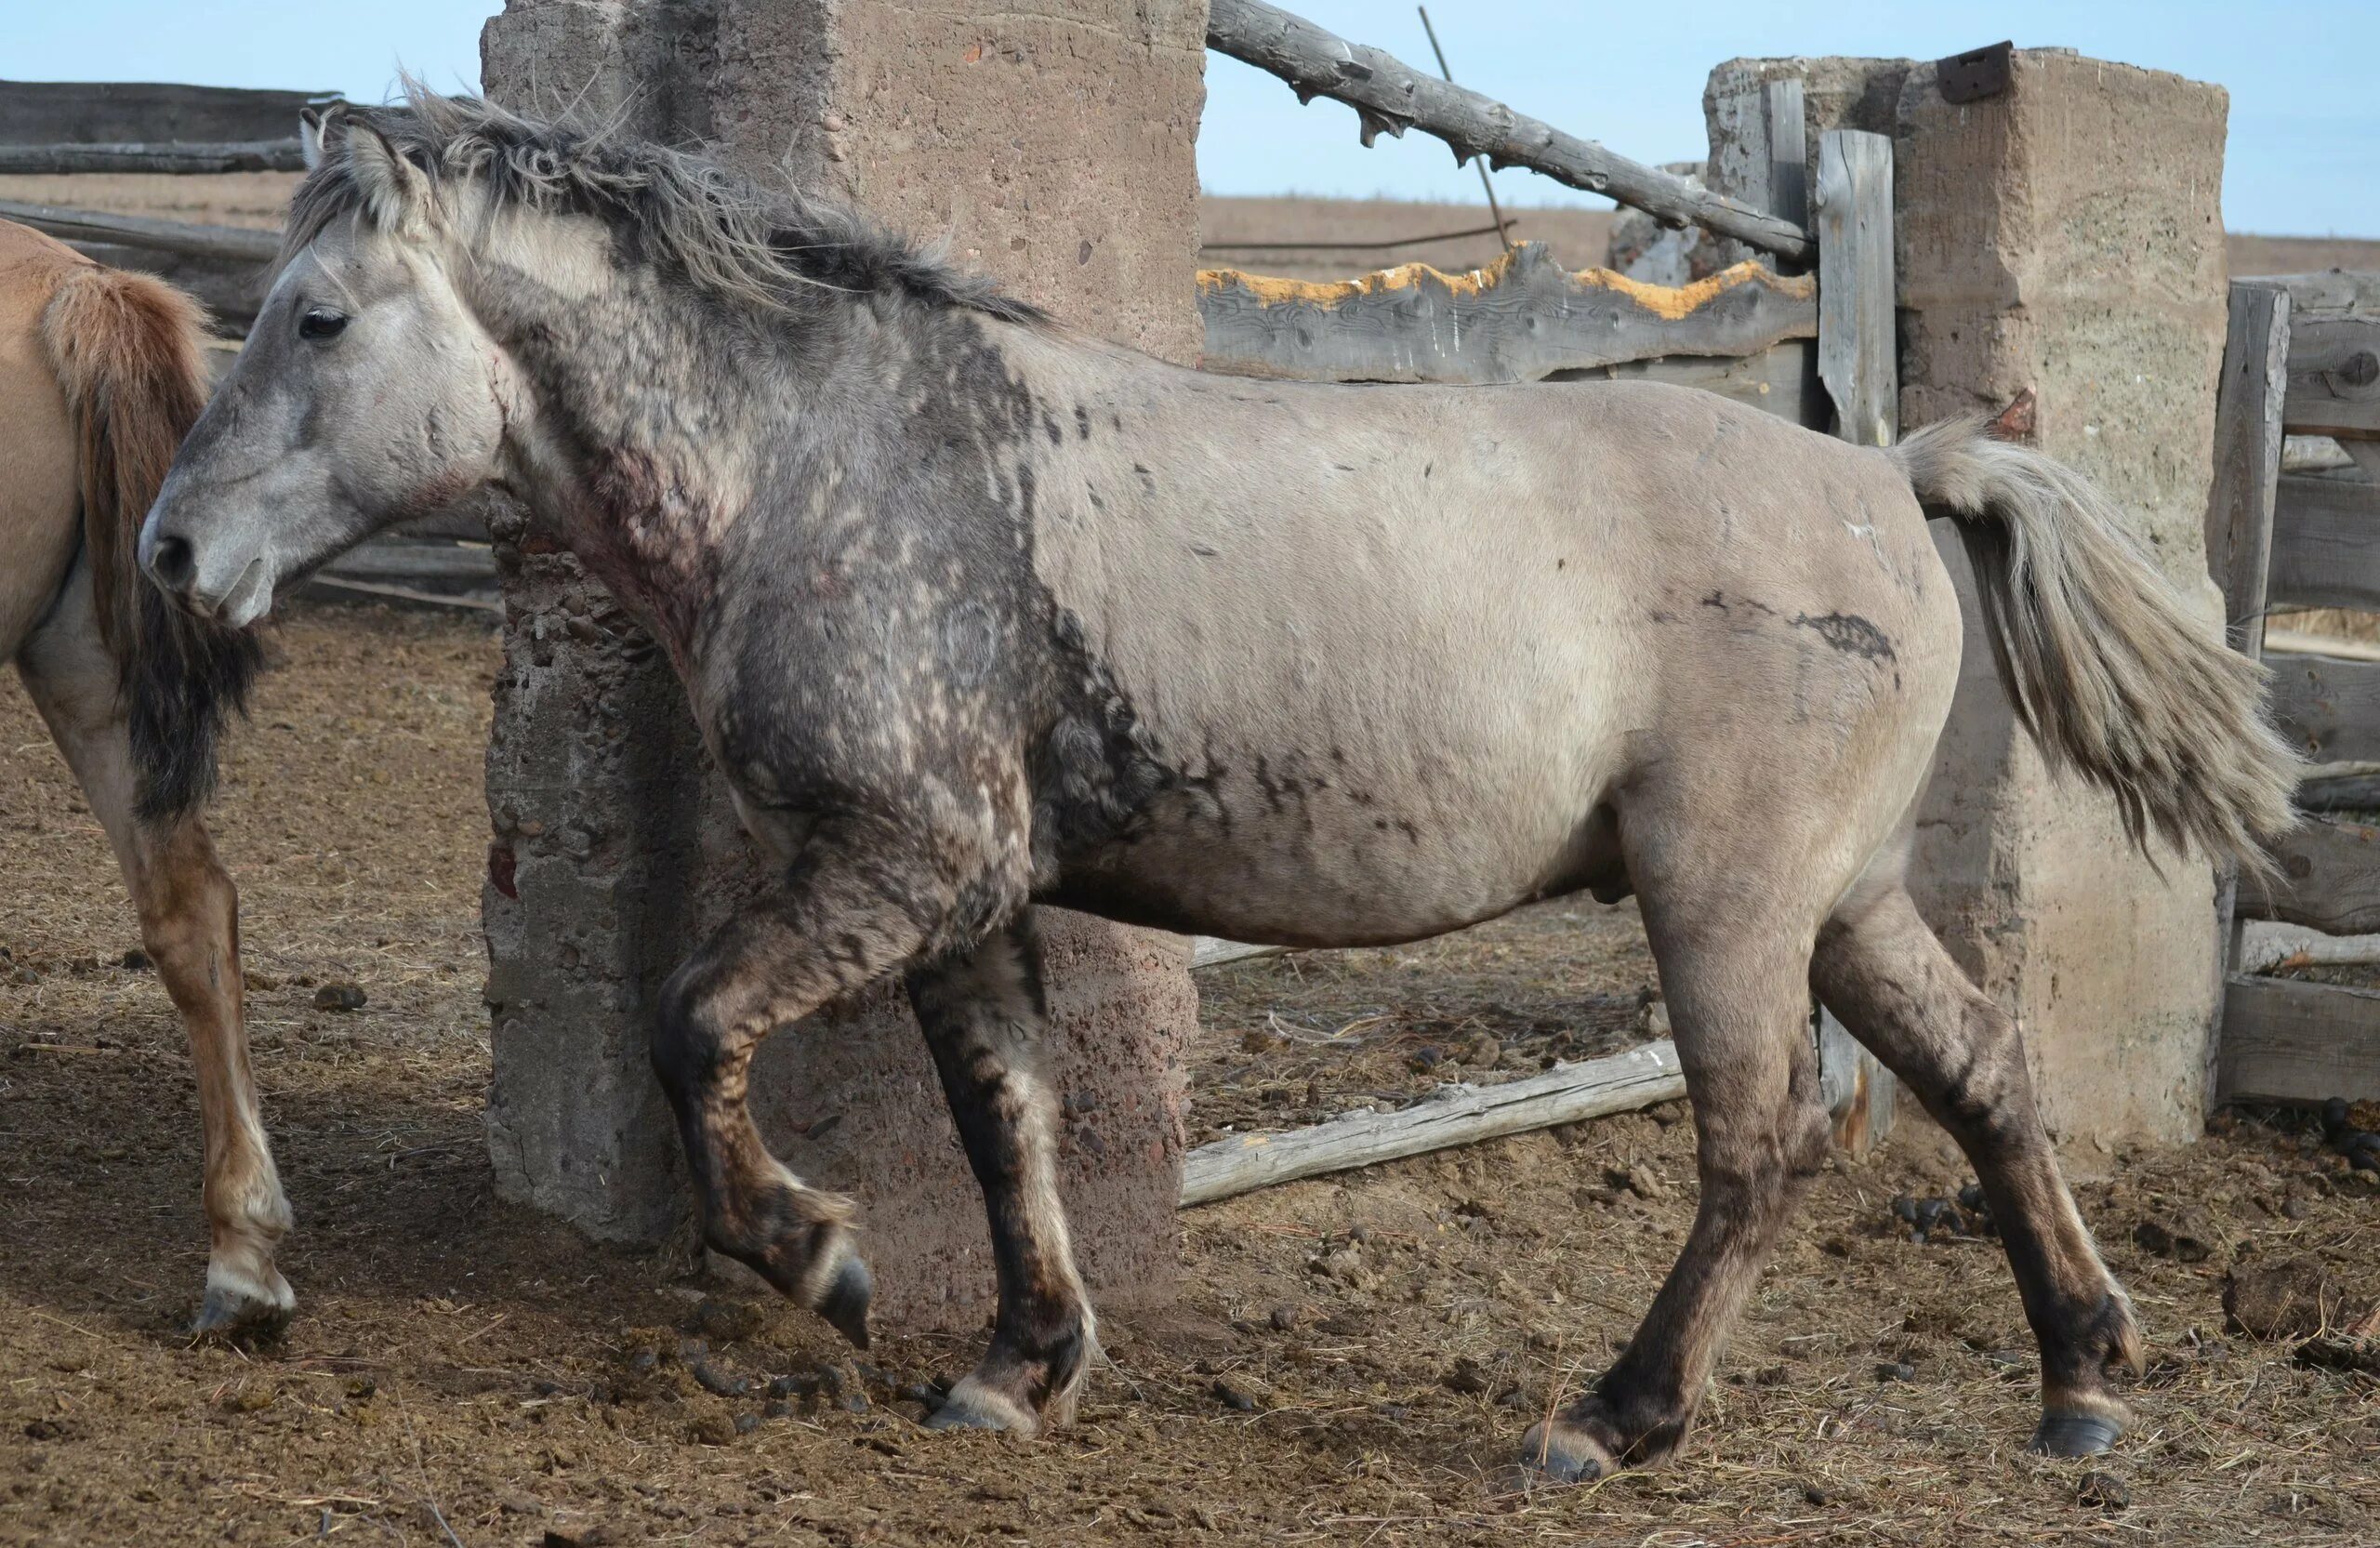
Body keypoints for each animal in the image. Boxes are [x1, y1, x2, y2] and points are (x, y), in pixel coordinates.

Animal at [139, 96, 2294, 1466]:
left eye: (318, 316)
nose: (170, 552)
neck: (833, 463)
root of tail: (1892, 470)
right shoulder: (969, 892)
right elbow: (1004, 1117)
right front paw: (1018, 1367)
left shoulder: (902, 860)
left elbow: (693, 1025)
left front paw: (820, 1259)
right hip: (1841, 899)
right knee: (1985, 1076)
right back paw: (2082, 1385)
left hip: (1731, 902)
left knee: (1761, 1143)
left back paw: (1613, 1420)